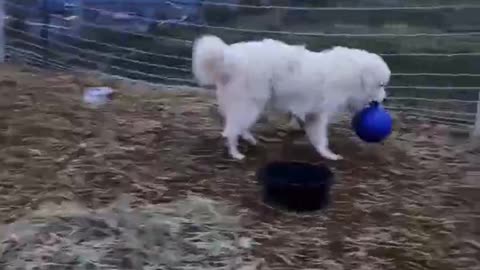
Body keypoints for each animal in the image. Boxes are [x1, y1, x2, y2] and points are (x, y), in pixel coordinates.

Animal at [191, 33, 390, 160]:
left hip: (248, 103)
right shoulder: (319, 113)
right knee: (231, 130)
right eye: (381, 85)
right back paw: (235, 153)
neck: (355, 74)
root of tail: (229, 57)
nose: (384, 99)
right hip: (250, 102)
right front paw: (328, 155)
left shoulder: (310, 112)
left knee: (236, 125)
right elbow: (321, 137)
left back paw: (249, 139)